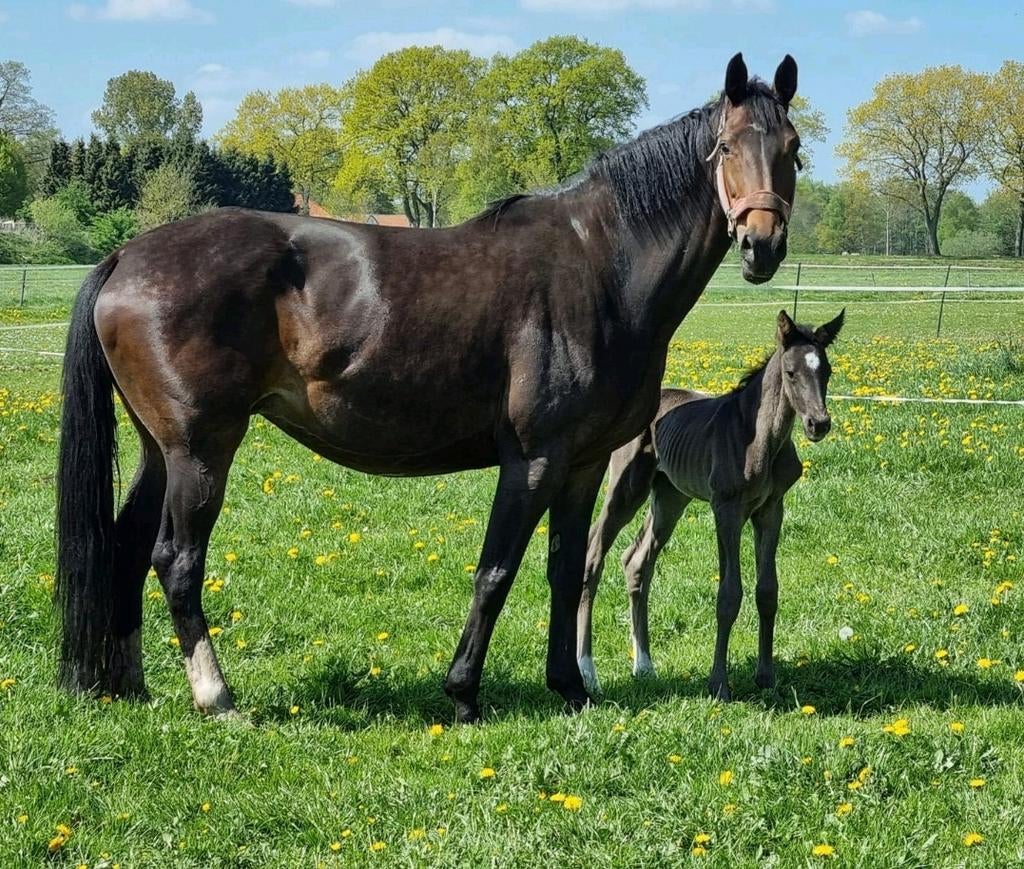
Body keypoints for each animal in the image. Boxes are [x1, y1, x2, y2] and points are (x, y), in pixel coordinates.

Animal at [55, 53, 802, 723]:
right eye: (727, 146)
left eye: (792, 149)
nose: (762, 244)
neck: (601, 265)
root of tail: (127, 255)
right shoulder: (533, 459)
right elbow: (496, 571)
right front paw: (465, 691)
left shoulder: (584, 464)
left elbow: (565, 569)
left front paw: (570, 687)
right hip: (202, 449)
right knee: (176, 560)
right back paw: (217, 697)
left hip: (161, 450)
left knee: (126, 546)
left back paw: (128, 685)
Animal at [577, 308, 844, 700]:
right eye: (791, 372)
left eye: (826, 371)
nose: (818, 424)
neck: (760, 438)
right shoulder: (726, 509)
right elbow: (729, 594)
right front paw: (719, 684)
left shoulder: (771, 509)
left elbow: (768, 590)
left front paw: (766, 678)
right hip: (627, 488)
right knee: (594, 553)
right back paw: (586, 670)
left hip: (670, 497)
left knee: (636, 560)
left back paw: (644, 665)